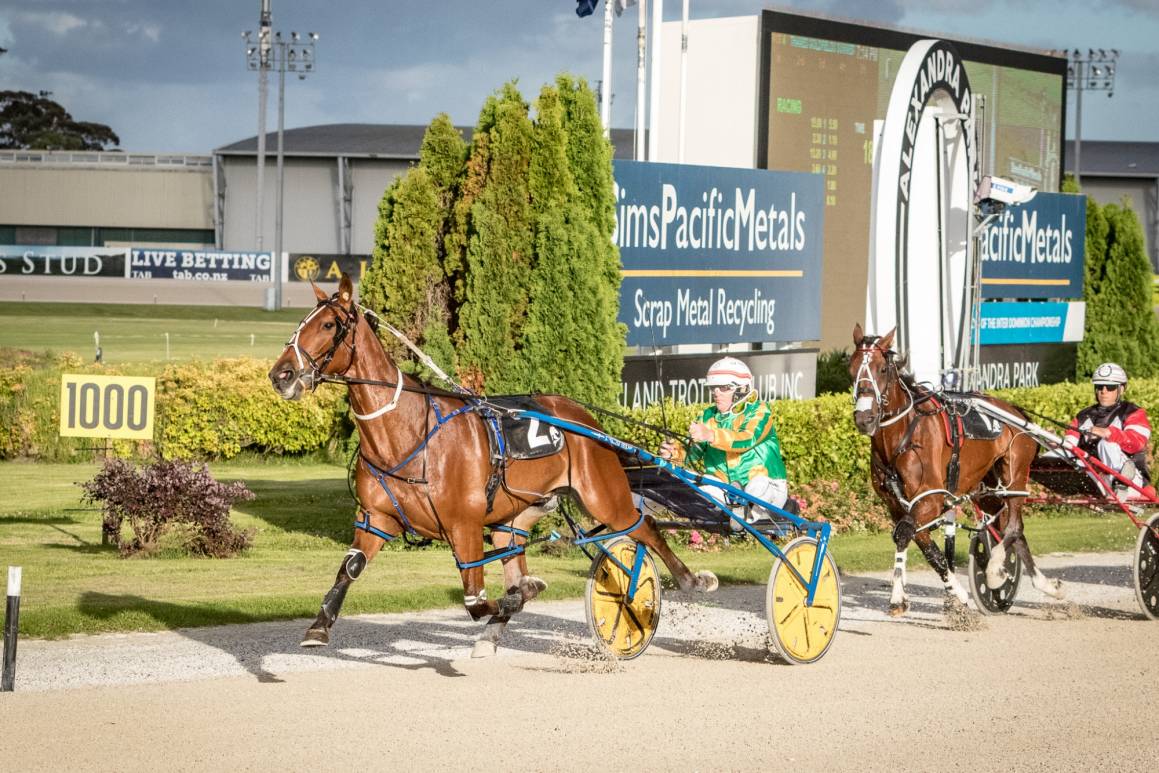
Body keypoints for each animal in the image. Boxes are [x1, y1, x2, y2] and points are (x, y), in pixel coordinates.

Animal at [268, 274, 713, 658]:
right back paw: (496, 629)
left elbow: (476, 600)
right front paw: (318, 627)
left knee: (643, 526)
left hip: (603, 494)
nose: (280, 374)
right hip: (515, 515)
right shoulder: (377, 519)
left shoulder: (463, 524)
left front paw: (517, 596)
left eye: (328, 324)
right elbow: (351, 568)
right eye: (301, 323)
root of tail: (588, 421)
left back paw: (689, 581)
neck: (407, 432)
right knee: (517, 551)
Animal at [853, 324, 1061, 611]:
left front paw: (897, 596)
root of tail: (1017, 411)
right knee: (1008, 525)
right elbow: (925, 545)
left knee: (1013, 526)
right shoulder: (897, 505)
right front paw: (957, 592)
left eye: (881, 369)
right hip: (985, 487)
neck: (903, 435)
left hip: (1015, 474)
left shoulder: (930, 498)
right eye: (851, 368)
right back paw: (1039, 583)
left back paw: (996, 570)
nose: (864, 418)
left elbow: (905, 533)